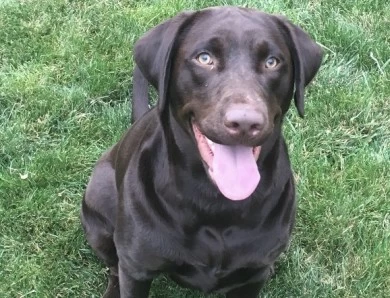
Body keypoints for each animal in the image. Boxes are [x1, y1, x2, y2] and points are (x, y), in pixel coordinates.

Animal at [80, 5, 322, 296]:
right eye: (204, 58)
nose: (245, 122)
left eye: (272, 61)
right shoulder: (136, 266)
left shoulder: (252, 275)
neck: (215, 203)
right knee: (114, 266)